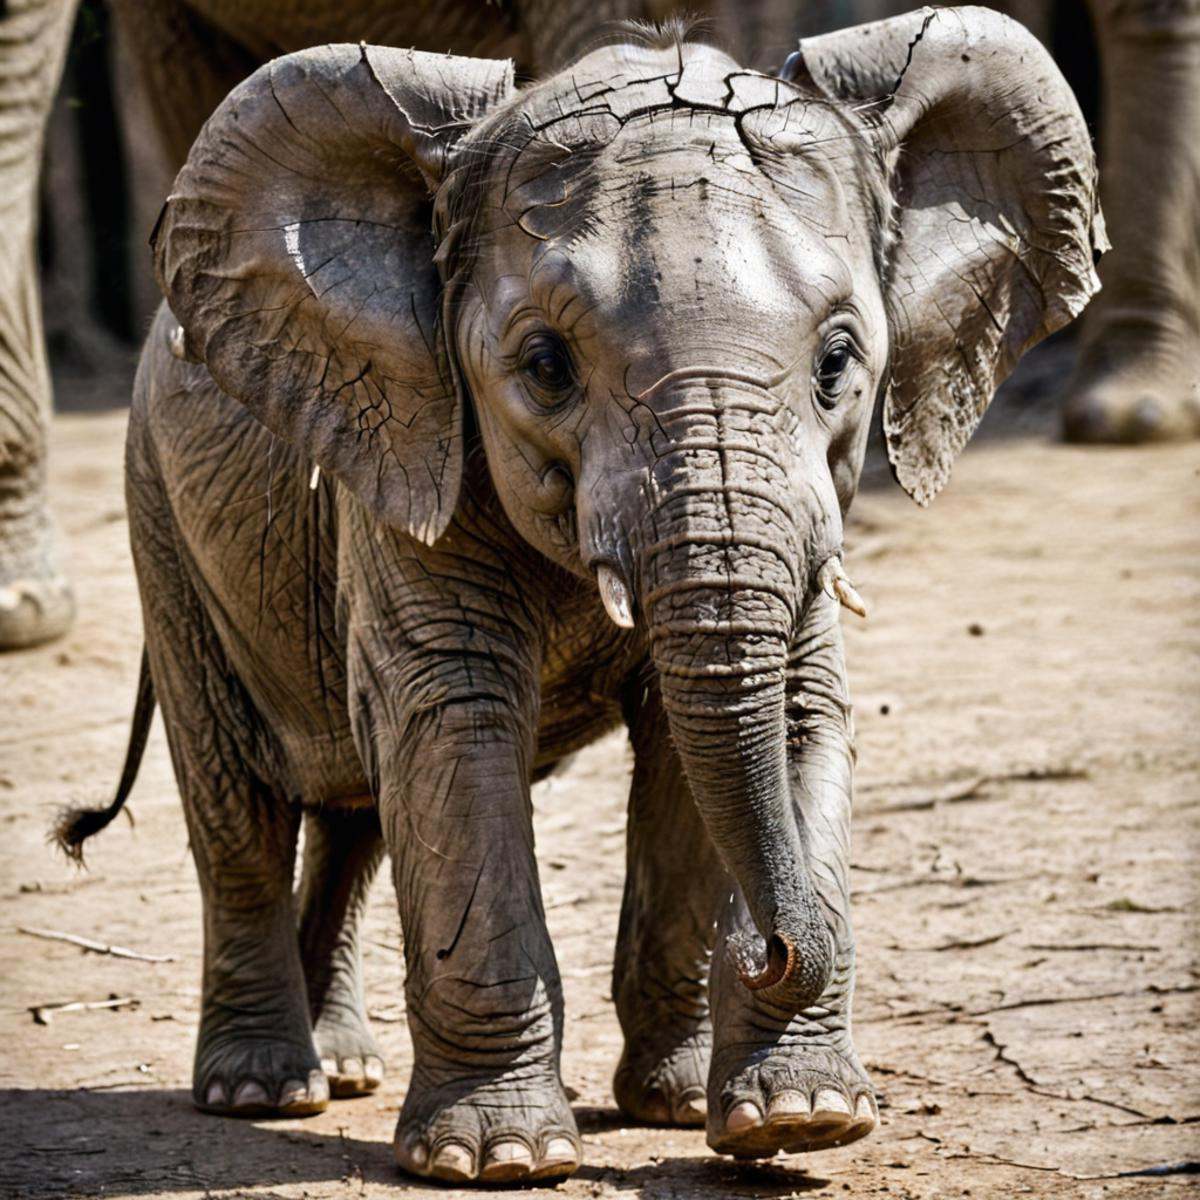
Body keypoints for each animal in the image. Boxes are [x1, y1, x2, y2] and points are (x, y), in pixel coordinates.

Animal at [54, 8, 1106, 1185]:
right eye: (547, 366)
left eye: (839, 360)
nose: (774, 946)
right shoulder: (413, 437)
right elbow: (452, 721)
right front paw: (498, 1161)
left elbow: (780, 712)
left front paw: (779, 1119)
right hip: (161, 514)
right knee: (238, 801)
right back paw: (265, 1091)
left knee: (354, 815)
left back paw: (347, 1071)